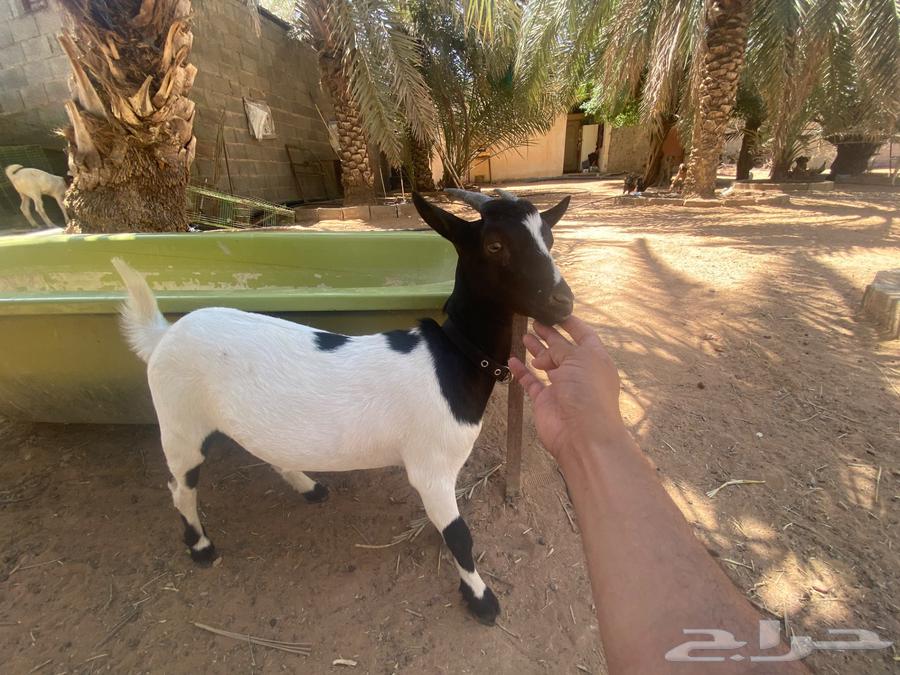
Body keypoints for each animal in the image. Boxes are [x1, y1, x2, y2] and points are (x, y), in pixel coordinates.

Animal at [112, 189, 574, 625]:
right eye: (494, 245)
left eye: (548, 237)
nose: (563, 302)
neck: (450, 359)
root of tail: (162, 335)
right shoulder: (431, 465)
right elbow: (461, 535)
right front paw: (481, 600)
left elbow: (449, 527)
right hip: (179, 422)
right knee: (181, 485)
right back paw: (201, 546)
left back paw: (308, 486)